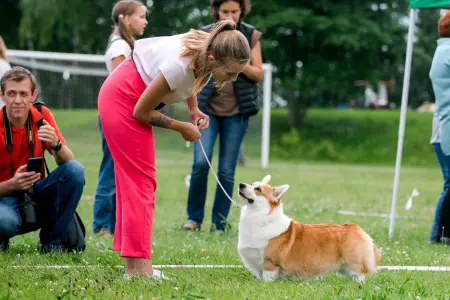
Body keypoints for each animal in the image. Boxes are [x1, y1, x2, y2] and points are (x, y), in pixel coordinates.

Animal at [237, 175, 382, 282]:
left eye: (258, 189)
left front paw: (265, 285)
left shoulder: (270, 263)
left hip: (353, 263)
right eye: (251, 184)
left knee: (360, 274)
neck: (258, 215)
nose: (241, 184)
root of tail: (355, 228)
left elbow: (267, 277)